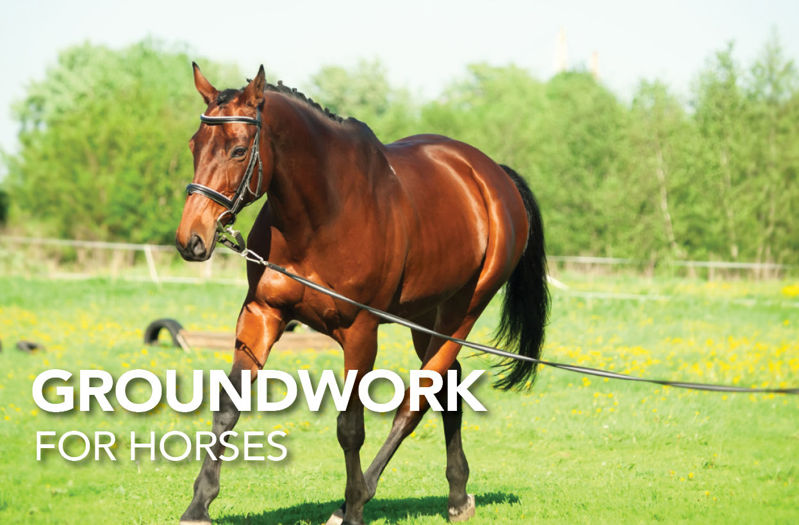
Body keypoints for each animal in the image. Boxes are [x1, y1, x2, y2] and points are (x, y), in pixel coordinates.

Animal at [175, 63, 549, 525]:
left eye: (239, 150)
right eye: (195, 145)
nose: (191, 239)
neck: (320, 216)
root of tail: (491, 174)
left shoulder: (360, 332)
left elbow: (350, 427)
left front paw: (353, 507)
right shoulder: (262, 312)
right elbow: (229, 406)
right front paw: (199, 504)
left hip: (461, 313)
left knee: (417, 400)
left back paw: (365, 494)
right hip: (424, 317)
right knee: (449, 388)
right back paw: (458, 495)